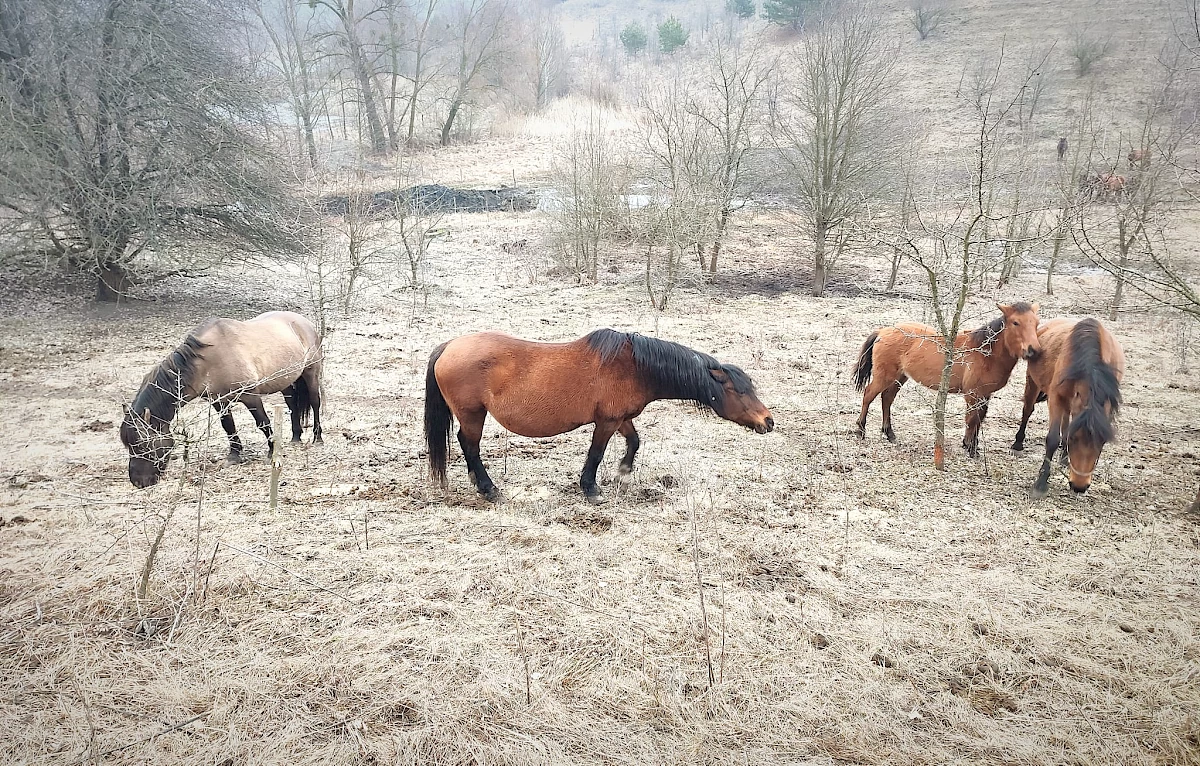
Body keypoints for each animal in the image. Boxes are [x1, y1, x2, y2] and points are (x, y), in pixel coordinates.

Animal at [119, 309, 324, 485]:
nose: (138, 482)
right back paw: (296, 437)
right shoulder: (219, 401)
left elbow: (263, 423)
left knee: (315, 403)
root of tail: (304, 322)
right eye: (128, 445)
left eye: (143, 445)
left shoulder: (250, 396)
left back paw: (317, 437)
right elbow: (228, 426)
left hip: (310, 373)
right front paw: (234, 455)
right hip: (287, 381)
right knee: (292, 405)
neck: (208, 361)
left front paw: (272, 451)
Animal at [427, 331, 772, 504]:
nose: (768, 421)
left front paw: (623, 474)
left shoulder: (622, 418)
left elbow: (634, 442)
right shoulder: (606, 421)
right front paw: (591, 490)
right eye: (740, 391)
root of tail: (449, 347)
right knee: (470, 445)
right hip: (473, 414)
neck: (634, 367)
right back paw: (489, 489)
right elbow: (596, 453)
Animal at [854, 304, 1041, 461]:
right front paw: (971, 448)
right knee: (869, 395)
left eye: (1036, 323)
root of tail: (883, 331)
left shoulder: (985, 394)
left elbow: (979, 418)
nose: (1034, 350)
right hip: (884, 376)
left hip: (900, 377)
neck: (985, 352)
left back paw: (889, 433)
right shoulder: (973, 394)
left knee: (887, 399)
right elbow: (972, 419)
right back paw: (860, 430)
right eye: (1016, 322)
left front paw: (971, 445)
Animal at [1012, 316, 1123, 499]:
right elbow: (1052, 439)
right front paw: (1041, 484)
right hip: (1033, 383)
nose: (1079, 486)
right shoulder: (1056, 398)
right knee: (1027, 410)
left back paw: (1064, 458)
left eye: (1102, 442)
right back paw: (1018, 444)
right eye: (1074, 439)